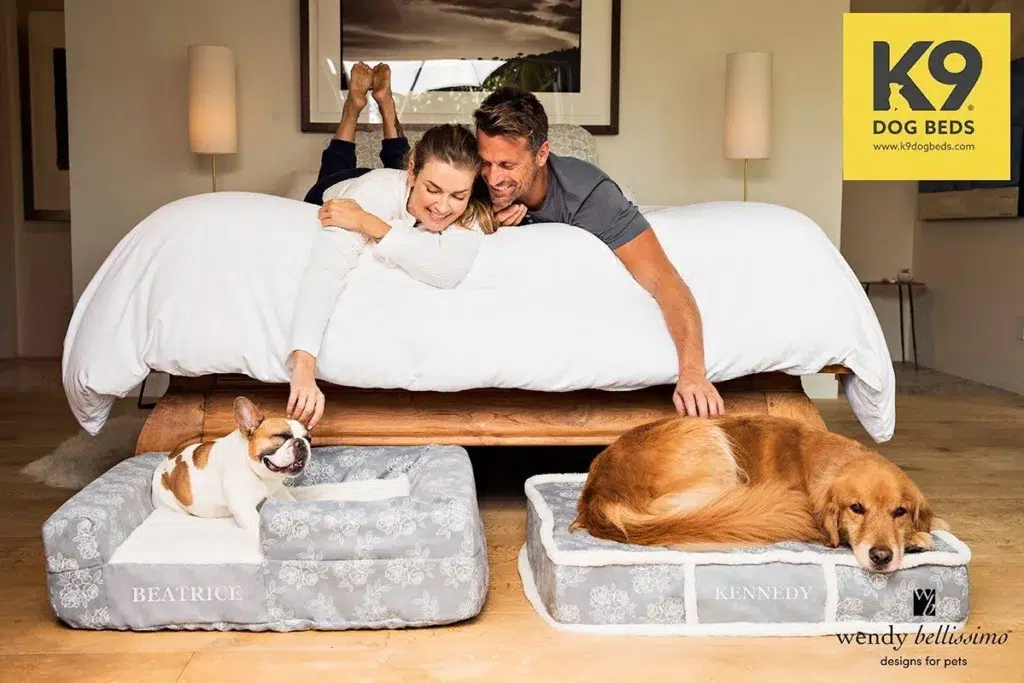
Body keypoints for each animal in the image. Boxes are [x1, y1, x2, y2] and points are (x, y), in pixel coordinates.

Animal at [569, 413, 942, 573]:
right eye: (856, 508)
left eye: (900, 512)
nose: (881, 557)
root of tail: (597, 496)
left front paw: (915, 536)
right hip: (708, 436)